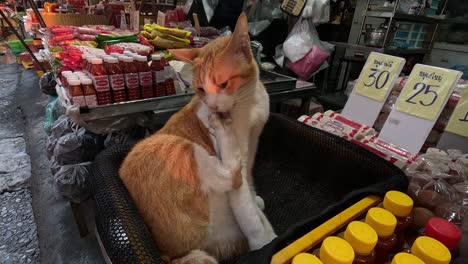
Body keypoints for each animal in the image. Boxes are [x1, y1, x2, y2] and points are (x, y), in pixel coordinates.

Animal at [119, 13, 276, 262]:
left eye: (223, 84)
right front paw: (263, 240)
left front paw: (255, 198)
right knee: (230, 174)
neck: (250, 103)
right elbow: (249, 212)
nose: (212, 107)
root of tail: (167, 253)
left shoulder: (253, 145)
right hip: (176, 145)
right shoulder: (242, 159)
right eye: (201, 90)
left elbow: (250, 183)